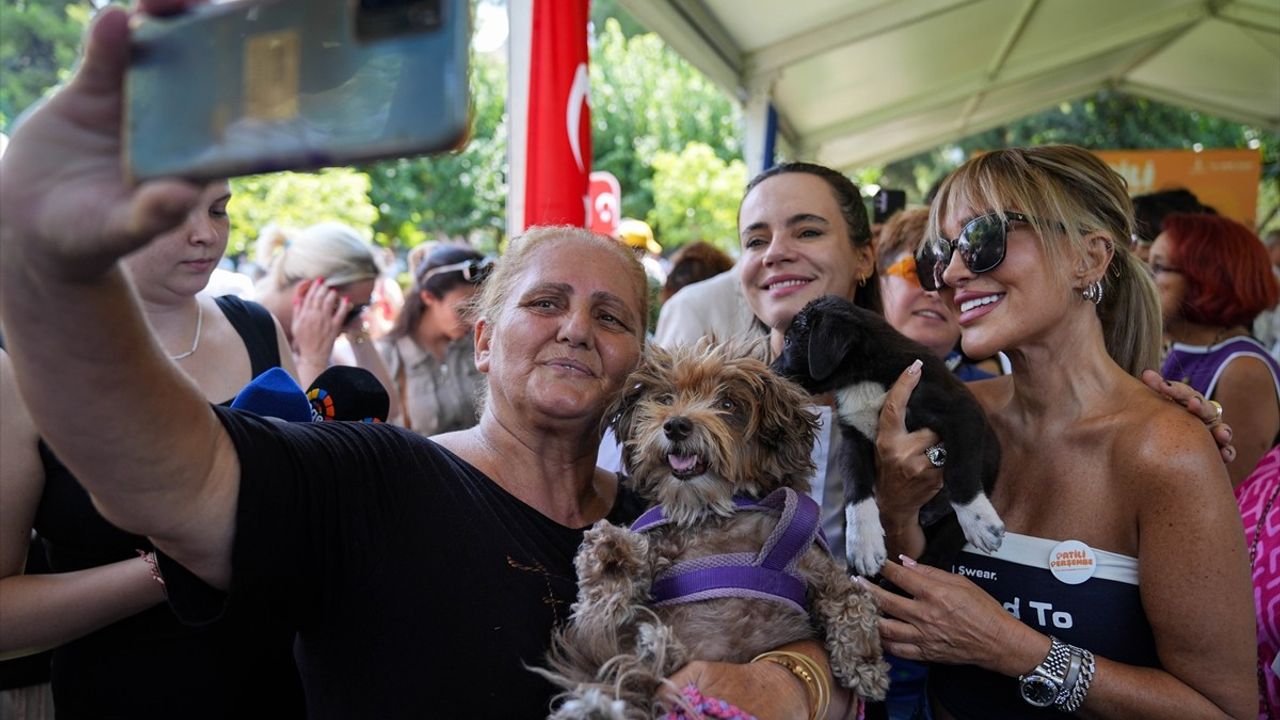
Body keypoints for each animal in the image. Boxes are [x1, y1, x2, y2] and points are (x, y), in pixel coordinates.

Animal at [540, 340, 890, 717]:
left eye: (727, 404)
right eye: (666, 398)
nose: (676, 425)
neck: (711, 512)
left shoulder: (816, 565)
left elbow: (853, 600)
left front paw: (866, 666)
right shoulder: (660, 548)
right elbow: (600, 601)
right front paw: (611, 556)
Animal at [762, 294, 1003, 573]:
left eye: (789, 342)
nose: (768, 372)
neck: (862, 377)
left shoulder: (961, 412)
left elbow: (959, 472)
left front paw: (979, 520)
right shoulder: (853, 440)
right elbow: (856, 488)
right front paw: (863, 543)